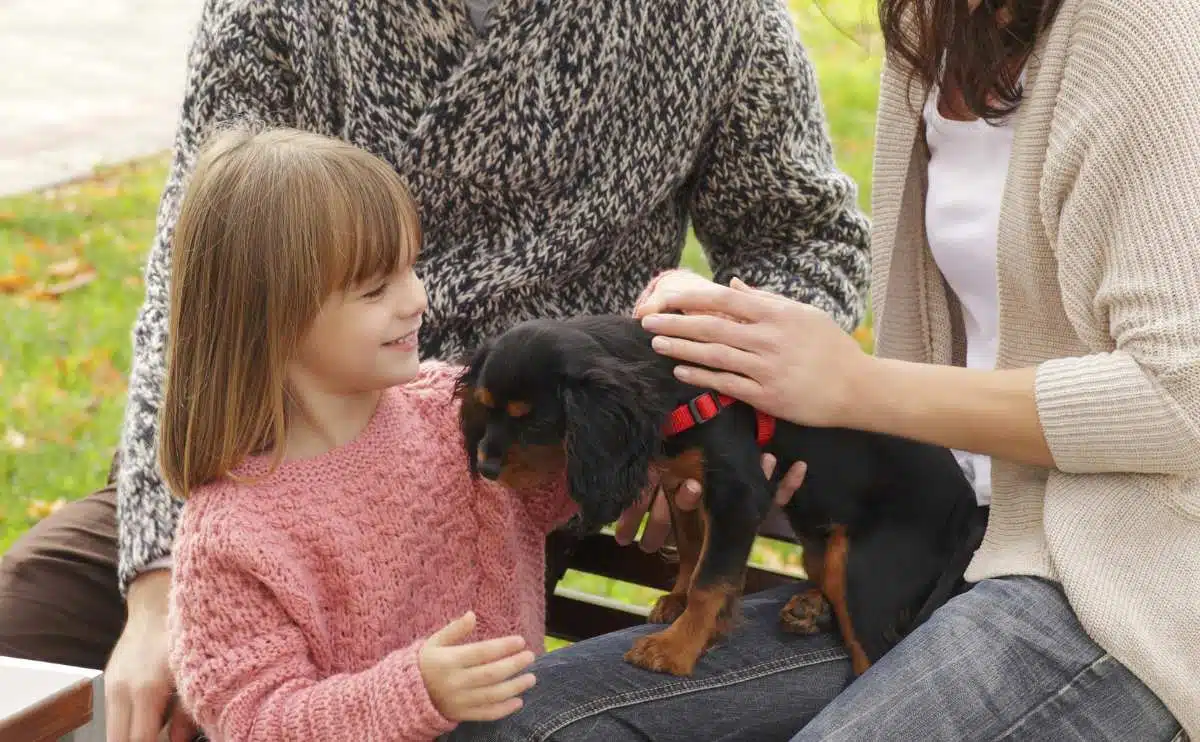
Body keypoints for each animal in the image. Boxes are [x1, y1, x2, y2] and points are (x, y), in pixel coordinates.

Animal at [453, 312, 979, 677]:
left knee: (873, 654)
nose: (486, 466)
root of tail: (968, 506)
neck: (672, 382)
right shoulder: (682, 481)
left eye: (536, 422)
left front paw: (676, 648)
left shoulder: (739, 496)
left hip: (866, 568)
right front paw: (678, 601)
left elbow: (713, 577)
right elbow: (692, 548)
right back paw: (810, 608)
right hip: (821, 543)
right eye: (485, 408)